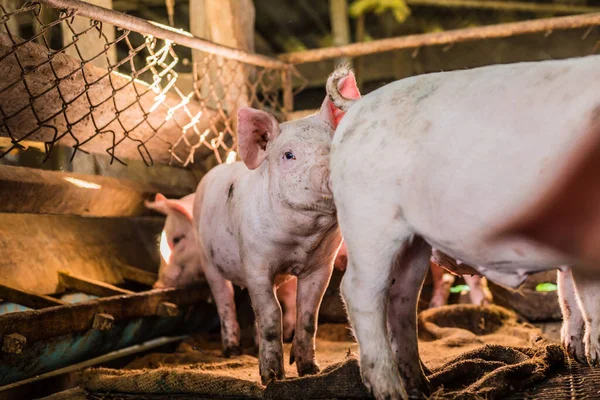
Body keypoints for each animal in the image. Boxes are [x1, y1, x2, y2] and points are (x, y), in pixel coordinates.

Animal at [192, 75, 360, 384]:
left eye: (333, 147)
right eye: (289, 155)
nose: (330, 171)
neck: (301, 238)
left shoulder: (322, 265)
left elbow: (308, 315)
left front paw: (310, 370)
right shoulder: (255, 262)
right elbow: (271, 314)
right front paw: (271, 378)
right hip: (207, 259)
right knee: (225, 301)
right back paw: (231, 351)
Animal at [326, 57, 600, 400]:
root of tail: (359, 105)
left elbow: (574, 294)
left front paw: (581, 353)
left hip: (413, 241)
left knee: (401, 296)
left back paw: (424, 385)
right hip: (369, 216)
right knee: (360, 291)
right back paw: (393, 391)